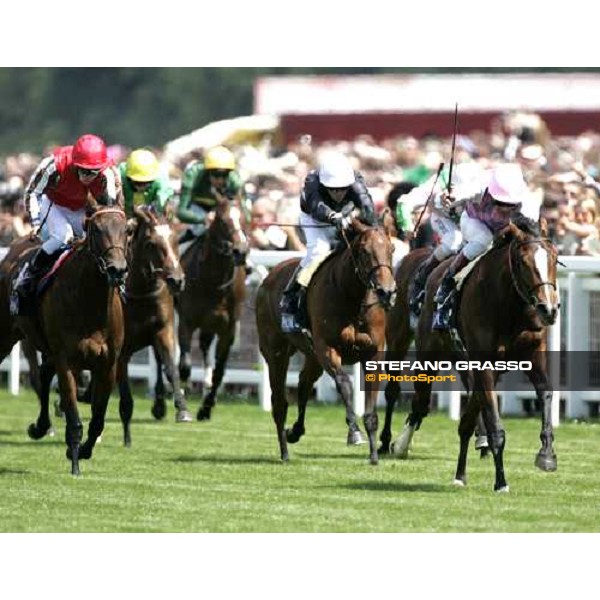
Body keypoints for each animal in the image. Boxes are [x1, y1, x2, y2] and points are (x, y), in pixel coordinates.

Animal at [0, 204, 127, 476]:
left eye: (127, 230)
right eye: (96, 229)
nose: (117, 270)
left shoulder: (108, 363)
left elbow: (98, 419)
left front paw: (82, 451)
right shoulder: (66, 360)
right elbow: (74, 416)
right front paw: (75, 463)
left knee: (43, 374)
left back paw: (40, 426)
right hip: (6, 334)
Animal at [177, 195, 247, 420]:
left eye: (244, 218)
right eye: (222, 221)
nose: (241, 251)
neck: (213, 281)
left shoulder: (228, 328)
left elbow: (220, 370)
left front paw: (206, 407)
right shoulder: (186, 321)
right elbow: (184, 365)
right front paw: (183, 403)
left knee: (206, 348)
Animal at [254, 220, 398, 464]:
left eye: (392, 249)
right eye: (364, 251)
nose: (386, 292)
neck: (352, 298)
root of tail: (268, 278)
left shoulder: (374, 352)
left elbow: (370, 411)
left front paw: (374, 456)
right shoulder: (327, 348)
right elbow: (345, 384)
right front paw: (354, 432)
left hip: (312, 357)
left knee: (304, 384)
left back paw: (295, 432)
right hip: (276, 353)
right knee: (279, 402)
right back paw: (284, 452)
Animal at [396, 218, 560, 490]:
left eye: (554, 258)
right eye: (523, 262)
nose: (548, 309)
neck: (509, 306)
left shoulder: (533, 354)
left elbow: (545, 392)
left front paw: (546, 455)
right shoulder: (484, 363)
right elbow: (494, 424)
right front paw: (501, 482)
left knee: (466, 420)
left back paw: (460, 474)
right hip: (429, 353)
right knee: (421, 403)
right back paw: (400, 445)